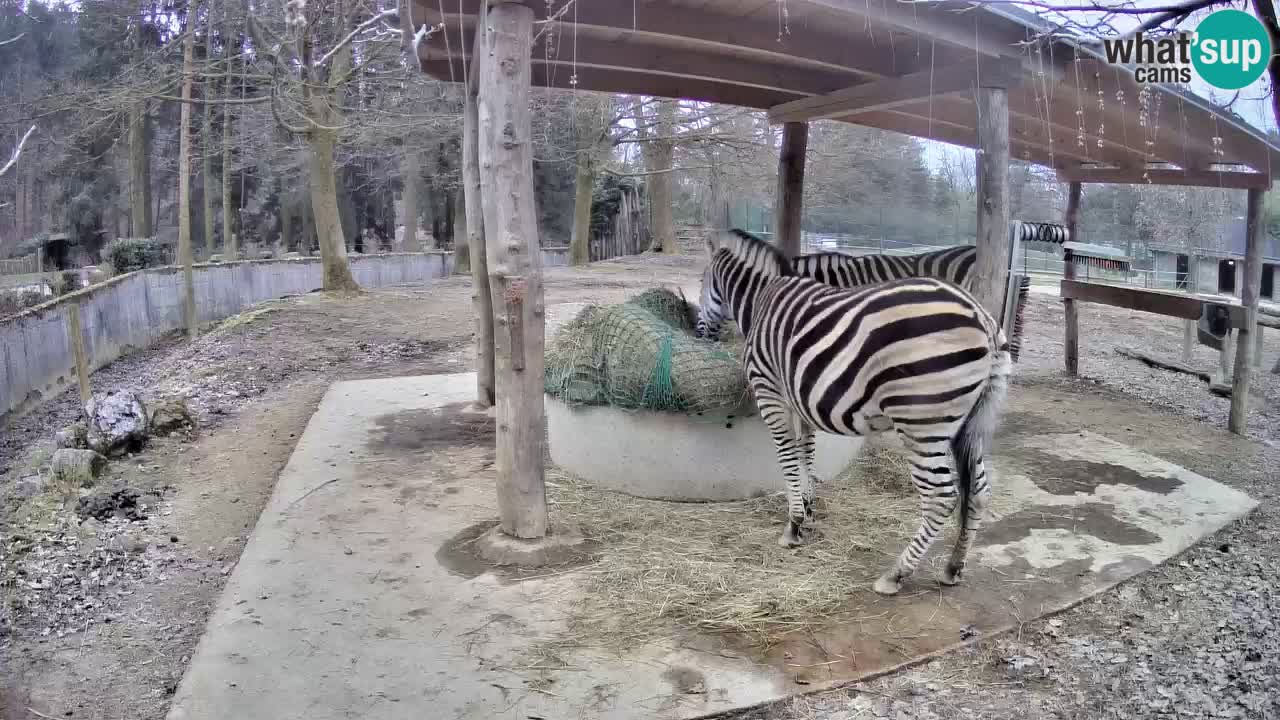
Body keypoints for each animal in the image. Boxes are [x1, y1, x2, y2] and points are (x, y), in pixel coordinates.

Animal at [696, 229, 1013, 594]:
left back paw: (896, 574)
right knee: (979, 491)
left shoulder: (769, 389)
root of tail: (982, 316)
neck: (760, 299)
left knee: (941, 496)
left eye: (701, 281)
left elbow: (787, 456)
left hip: (922, 422)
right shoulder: (799, 397)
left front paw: (793, 526)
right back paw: (953, 567)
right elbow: (806, 452)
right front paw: (808, 508)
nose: (699, 332)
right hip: (969, 421)